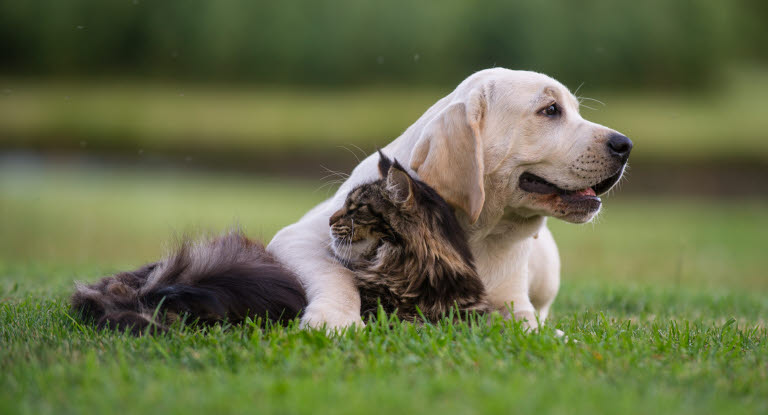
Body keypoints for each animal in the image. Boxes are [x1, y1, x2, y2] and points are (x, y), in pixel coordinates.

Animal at [268, 68, 632, 332]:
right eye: (551, 110)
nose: (625, 145)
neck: (480, 234)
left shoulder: (512, 303)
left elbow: (527, 323)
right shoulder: (298, 237)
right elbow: (336, 274)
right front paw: (335, 319)